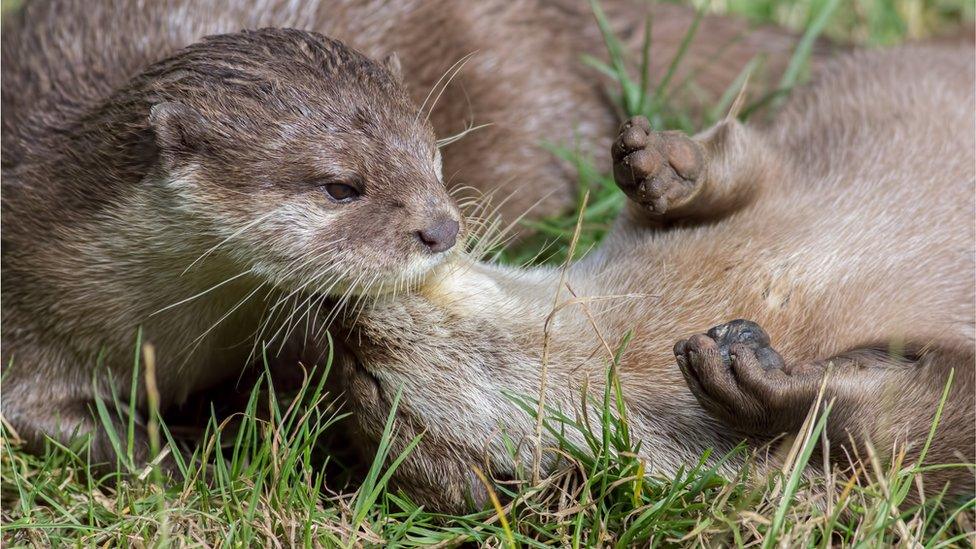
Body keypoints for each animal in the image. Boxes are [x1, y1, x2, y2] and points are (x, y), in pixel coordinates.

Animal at [338, 45, 976, 512]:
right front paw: (757, 388)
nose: (343, 325)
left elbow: (741, 160)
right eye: (371, 383)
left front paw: (666, 166)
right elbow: (916, 440)